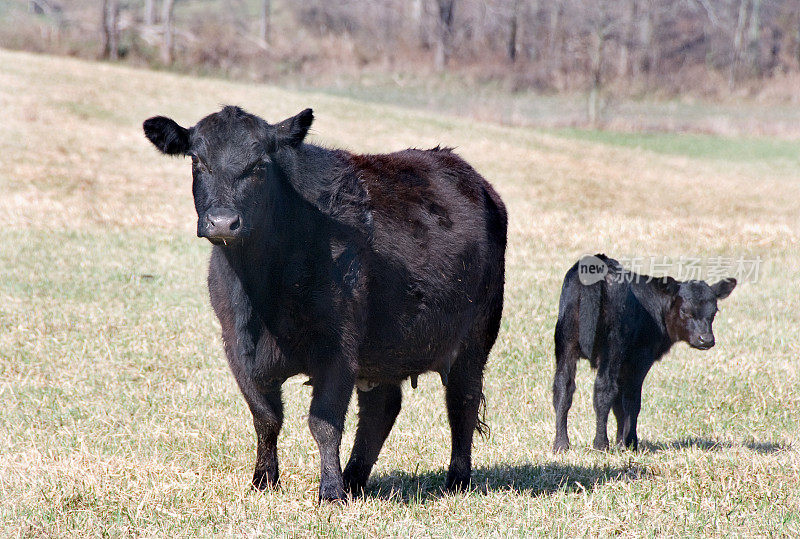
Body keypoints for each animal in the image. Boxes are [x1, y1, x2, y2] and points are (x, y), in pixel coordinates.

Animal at [142, 105, 506, 502]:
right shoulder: (237, 349)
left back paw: (456, 481)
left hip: (474, 337)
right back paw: (355, 479)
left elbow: (324, 422)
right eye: (197, 160)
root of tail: (473, 178)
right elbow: (266, 418)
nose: (223, 222)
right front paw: (264, 480)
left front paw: (330, 491)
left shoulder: (339, 349)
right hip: (383, 350)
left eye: (260, 164)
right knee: (381, 409)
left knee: (461, 404)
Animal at [552, 255, 736, 454]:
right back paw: (600, 444)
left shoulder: (624, 364)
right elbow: (632, 401)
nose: (706, 339)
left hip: (566, 341)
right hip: (612, 344)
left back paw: (561, 444)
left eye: (714, 312)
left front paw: (621, 442)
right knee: (603, 389)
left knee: (563, 387)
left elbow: (619, 405)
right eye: (685, 311)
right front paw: (630, 443)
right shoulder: (640, 359)